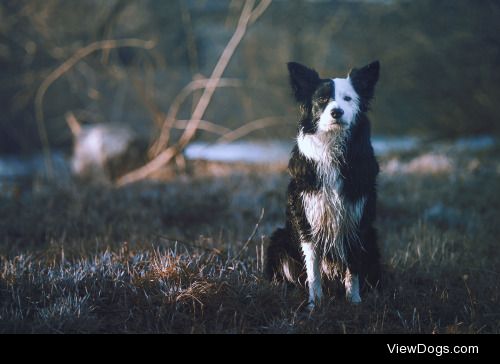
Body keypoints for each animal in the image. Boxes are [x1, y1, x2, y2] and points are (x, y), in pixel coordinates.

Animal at [268, 61, 380, 308]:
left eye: (347, 98)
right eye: (322, 99)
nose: (336, 112)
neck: (332, 144)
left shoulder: (355, 220)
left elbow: (353, 267)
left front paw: (354, 301)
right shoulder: (309, 218)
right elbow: (313, 269)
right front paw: (314, 303)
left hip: (373, 240)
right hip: (279, 239)